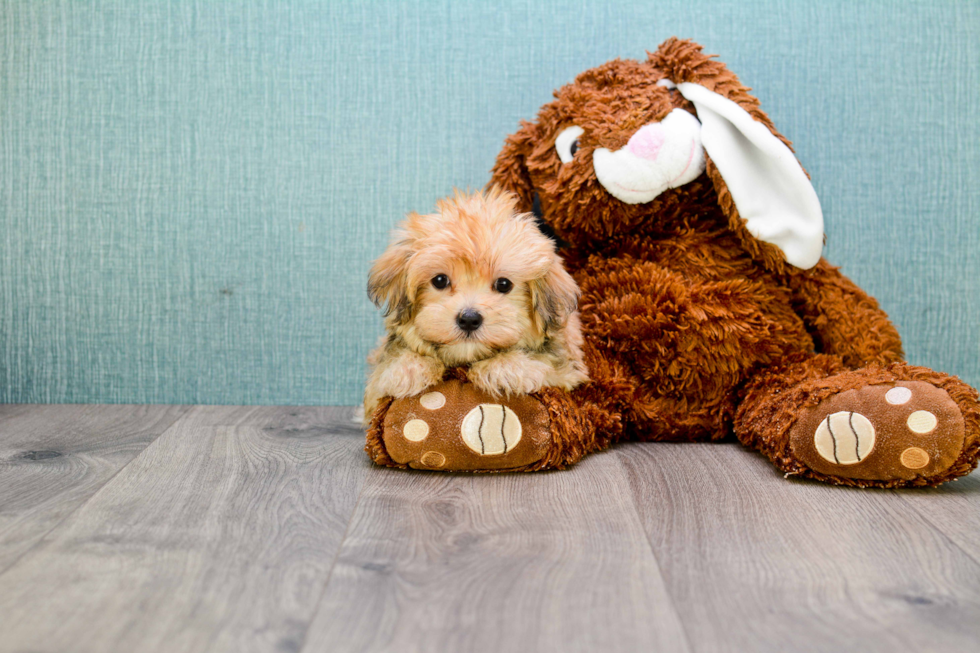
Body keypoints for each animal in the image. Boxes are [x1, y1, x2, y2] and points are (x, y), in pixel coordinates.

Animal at [362, 186, 584, 418]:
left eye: (503, 284)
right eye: (440, 280)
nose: (469, 319)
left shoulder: (567, 372)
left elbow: (545, 365)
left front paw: (502, 368)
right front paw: (409, 368)